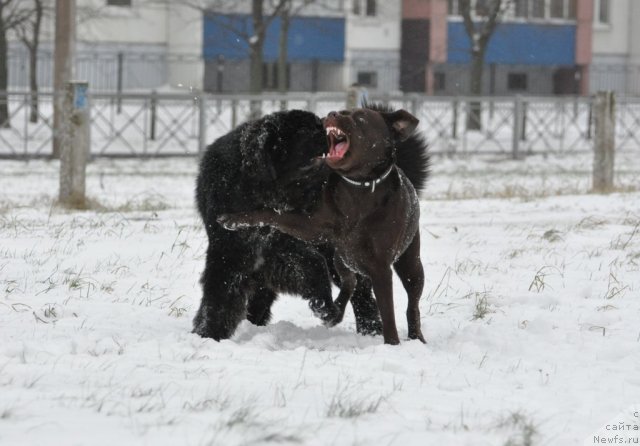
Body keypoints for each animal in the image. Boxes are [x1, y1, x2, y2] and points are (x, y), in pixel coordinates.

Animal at [190, 110, 382, 340]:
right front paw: (209, 332)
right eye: (305, 129)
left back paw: (371, 329)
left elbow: (312, 262)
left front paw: (324, 307)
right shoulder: (234, 247)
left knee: (360, 290)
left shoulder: (282, 240)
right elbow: (221, 292)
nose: (330, 127)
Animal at [220, 106, 430, 344]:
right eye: (344, 111)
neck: (359, 187)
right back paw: (335, 311)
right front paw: (235, 219)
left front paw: (392, 344)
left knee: (412, 302)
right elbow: (272, 214)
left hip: (411, 264)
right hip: (341, 258)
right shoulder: (312, 226)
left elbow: (388, 312)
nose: (332, 113)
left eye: (361, 118)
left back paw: (416, 336)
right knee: (350, 282)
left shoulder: (381, 267)